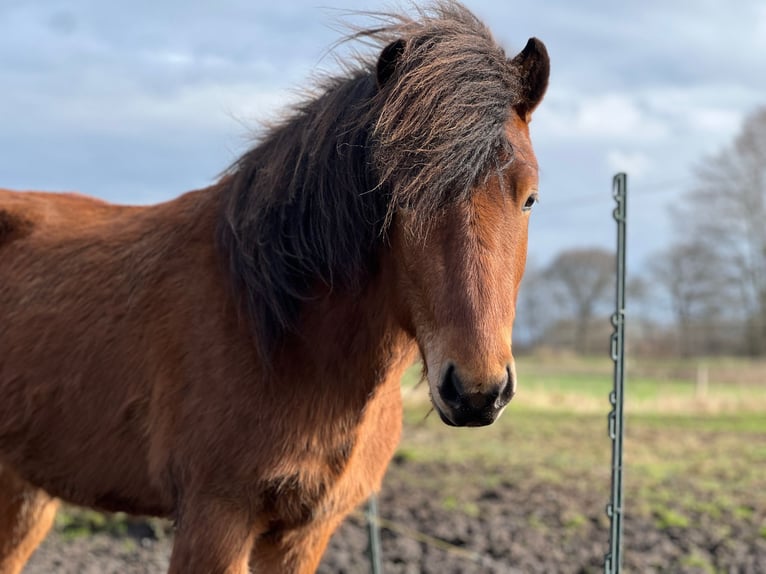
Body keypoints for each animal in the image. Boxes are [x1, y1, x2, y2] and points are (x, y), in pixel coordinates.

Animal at [0, 2, 552, 572]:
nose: (476, 392)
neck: (278, 333)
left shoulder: (303, 535)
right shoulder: (214, 521)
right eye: (401, 197)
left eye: (530, 198)